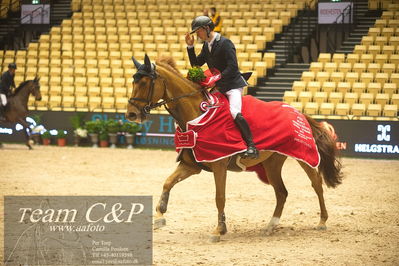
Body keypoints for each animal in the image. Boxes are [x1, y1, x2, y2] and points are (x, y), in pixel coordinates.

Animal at [126, 55, 344, 242]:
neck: (195, 117)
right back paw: (270, 226)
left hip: (302, 155)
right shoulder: (192, 165)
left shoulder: (219, 165)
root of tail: (299, 112)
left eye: (144, 83)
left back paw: (322, 221)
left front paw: (219, 230)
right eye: (133, 81)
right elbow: (167, 183)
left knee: (316, 183)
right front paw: (159, 215)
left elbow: (219, 197)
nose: (131, 114)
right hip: (272, 163)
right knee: (281, 192)